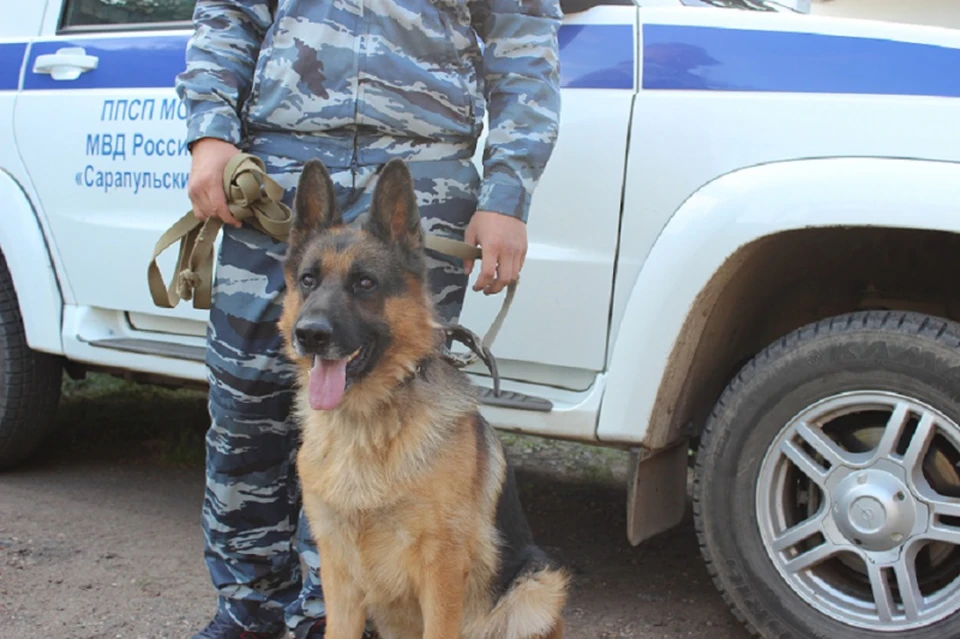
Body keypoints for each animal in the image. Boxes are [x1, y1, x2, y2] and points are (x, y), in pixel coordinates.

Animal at [274, 159, 568, 639]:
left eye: (365, 283)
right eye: (308, 280)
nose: (310, 334)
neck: (367, 424)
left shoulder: (441, 570)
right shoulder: (338, 574)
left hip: (537, 585)